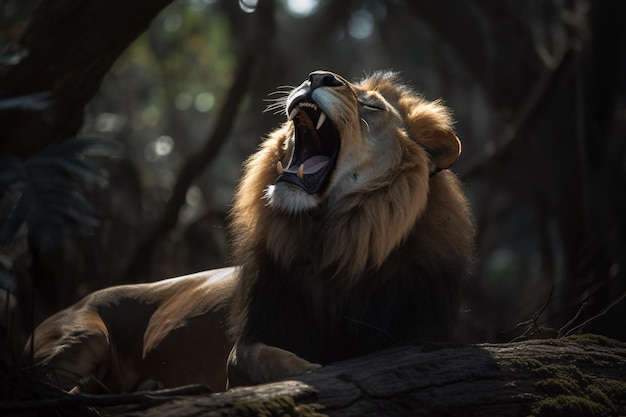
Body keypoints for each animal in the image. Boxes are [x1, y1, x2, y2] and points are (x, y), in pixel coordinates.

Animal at [24, 70, 472, 392]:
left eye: (371, 106)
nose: (318, 76)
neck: (331, 243)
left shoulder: (415, 340)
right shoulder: (255, 336)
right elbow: (254, 361)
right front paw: (310, 367)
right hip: (81, 335)